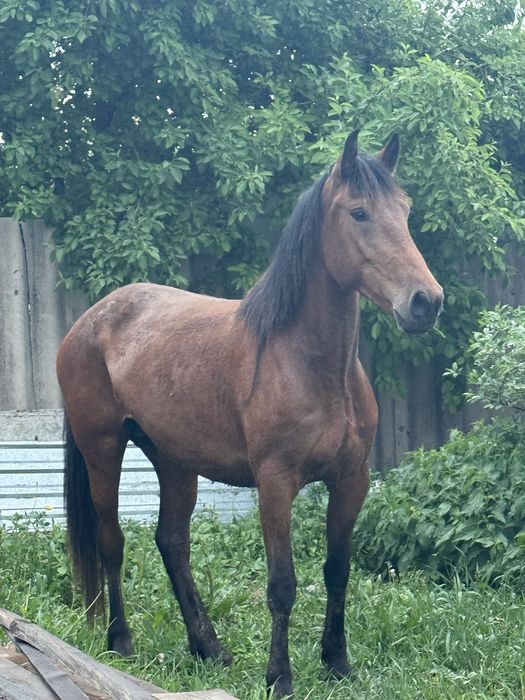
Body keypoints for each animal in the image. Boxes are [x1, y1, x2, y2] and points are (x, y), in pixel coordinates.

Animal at [58, 130, 443, 699]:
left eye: (406, 211)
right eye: (358, 213)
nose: (425, 302)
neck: (311, 365)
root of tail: (90, 320)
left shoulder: (352, 480)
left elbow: (338, 569)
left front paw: (337, 662)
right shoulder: (276, 483)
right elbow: (282, 584)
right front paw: (279, 677)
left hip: (175, 462)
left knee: (172, 543)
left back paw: (209, 648)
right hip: (103, 450)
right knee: (114, 543)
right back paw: (121, 642)